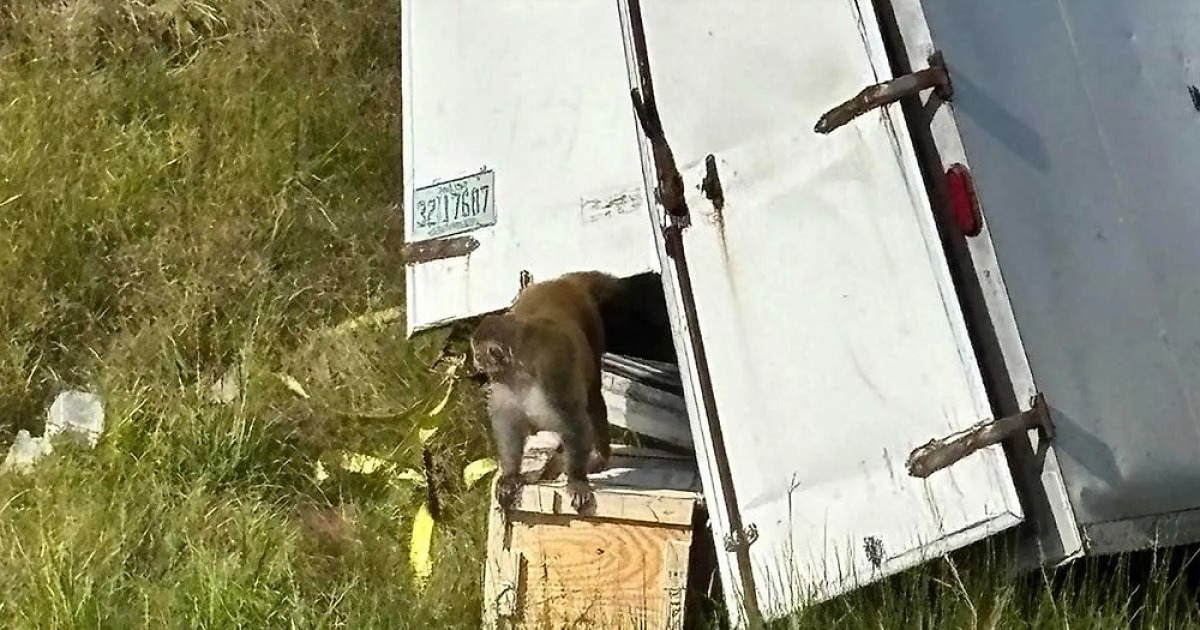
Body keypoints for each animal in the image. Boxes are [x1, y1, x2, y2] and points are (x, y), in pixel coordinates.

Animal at [470, 271, 625, 513]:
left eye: (478, 354)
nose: (475, 363)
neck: (520, 370)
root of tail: (562, 281)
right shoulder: (504, 384)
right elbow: (509, 424)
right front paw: (511, 475)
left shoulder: (553, 372)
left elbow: (574, 421)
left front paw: (577, 480)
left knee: (593, 397)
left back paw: (600, 455)